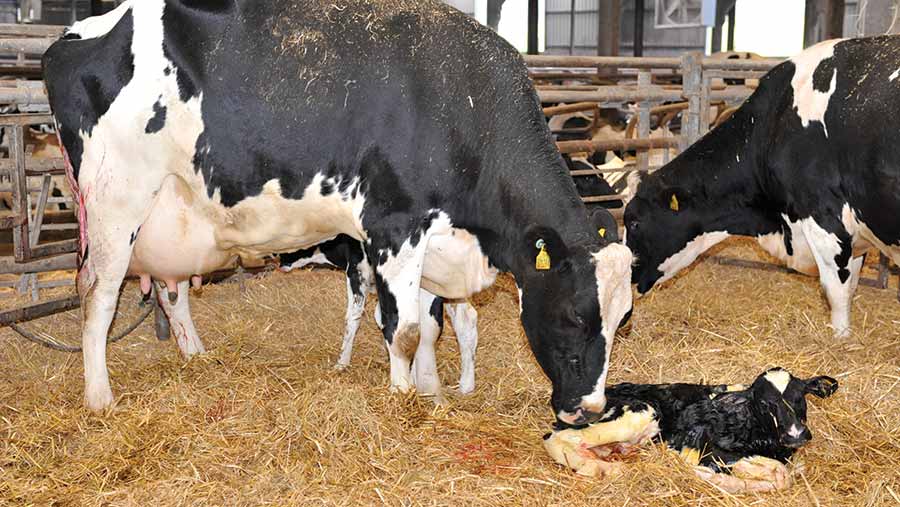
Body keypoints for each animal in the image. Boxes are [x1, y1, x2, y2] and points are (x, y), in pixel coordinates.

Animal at [544, 370, 840, 492]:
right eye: (765, 403)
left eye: (800, 397)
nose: (796, 434)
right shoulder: (714, 451)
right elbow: (781, 476)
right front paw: (714, 479)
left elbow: (788, 473)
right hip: (640, 413)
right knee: (557, 438)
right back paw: (607, 469)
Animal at [624, 38, 900, 338]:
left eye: (634, 222)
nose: (628, 278)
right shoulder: (856, 237)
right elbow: (849, 289)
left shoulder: (824, 219)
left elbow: (835, 293)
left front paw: (839, 339)